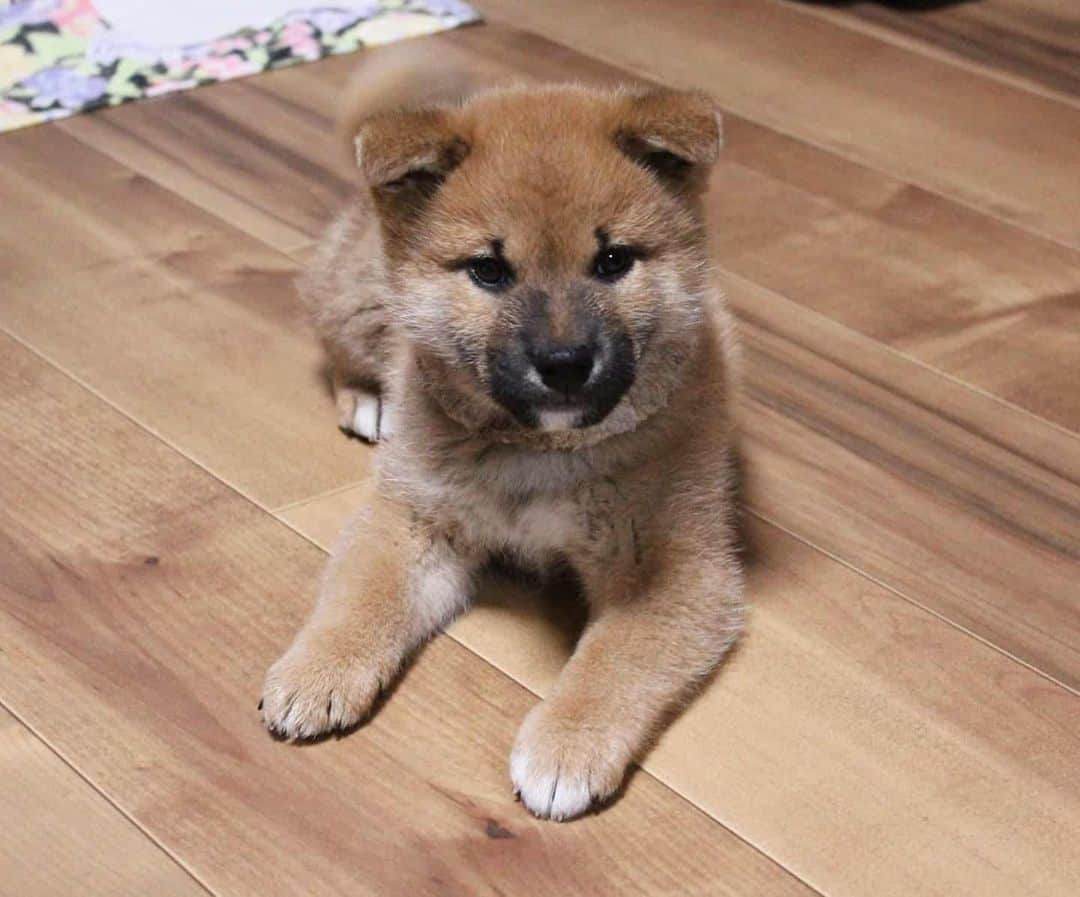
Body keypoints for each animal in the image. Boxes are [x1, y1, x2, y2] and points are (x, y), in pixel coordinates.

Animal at [261, 47, 743, 820]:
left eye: (613, 260)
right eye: (489, 270)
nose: (566, 362)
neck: (539, 451)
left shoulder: (674, 571)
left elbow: (612, 662)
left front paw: (567, 746)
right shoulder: (413, 521)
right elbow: (358, 599)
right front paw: (317, 669)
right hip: (356, 305)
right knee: (335, 345)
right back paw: (369, 399)